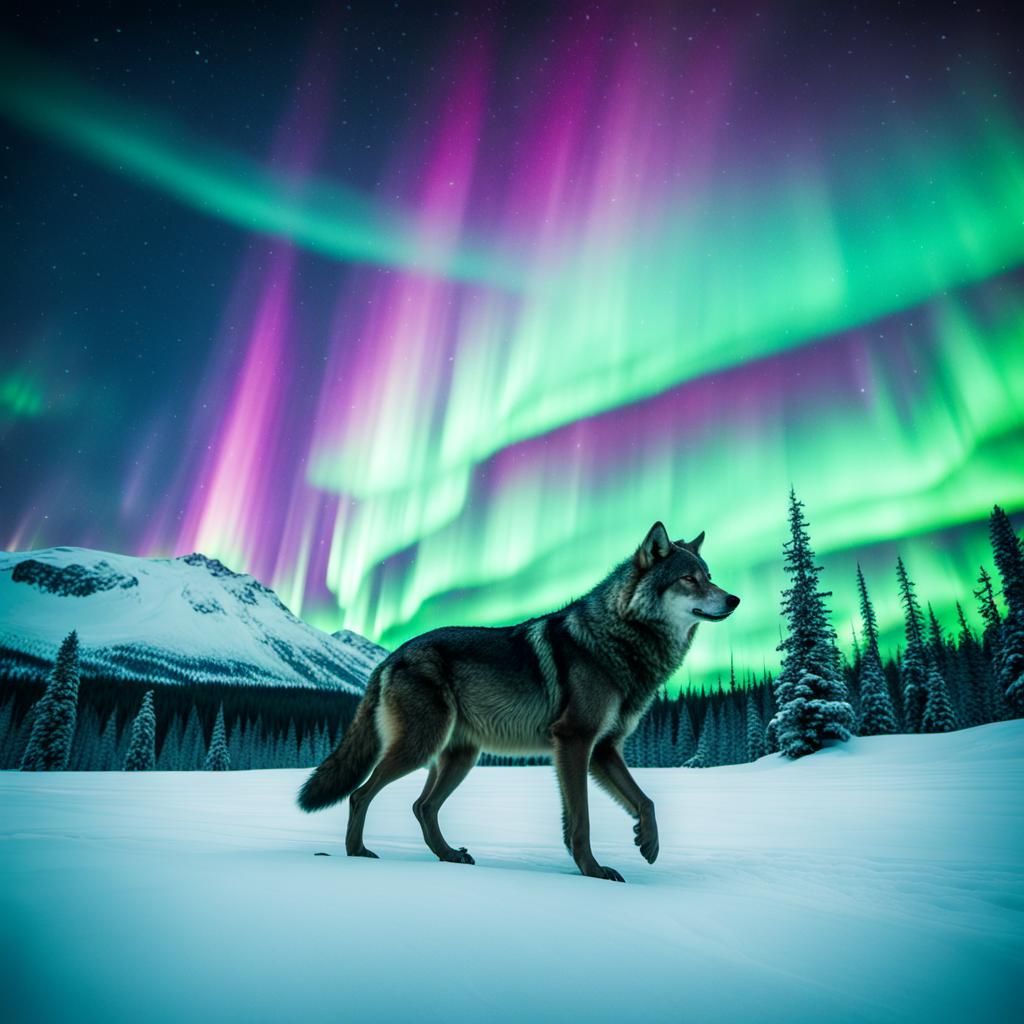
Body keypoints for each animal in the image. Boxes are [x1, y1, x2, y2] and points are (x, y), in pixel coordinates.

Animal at [297, 522, 739, 881]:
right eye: (689, 578)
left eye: (710, 577)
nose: (734, 599)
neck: (619, 639)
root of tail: (389, 656)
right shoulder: (575, 741)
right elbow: (582, 820)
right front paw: (593, 871)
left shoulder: (604, 748)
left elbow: (645, 802)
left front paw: (647, 843)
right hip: (419, 748)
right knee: (361, 794)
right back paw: (358, 852)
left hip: (459, 757)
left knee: (422, 807)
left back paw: (449, 855)